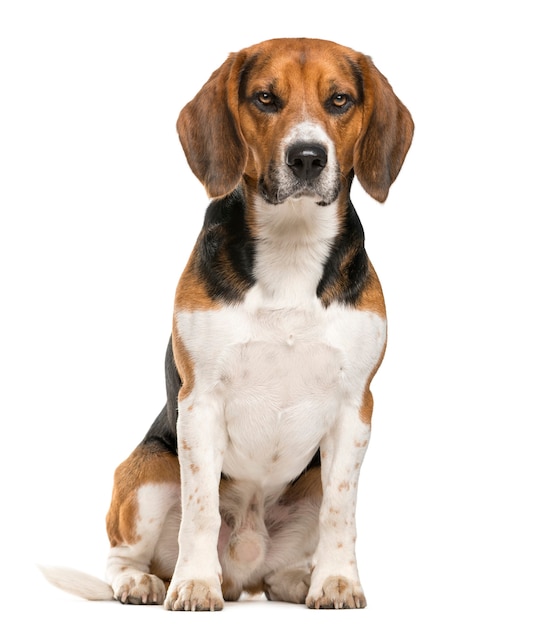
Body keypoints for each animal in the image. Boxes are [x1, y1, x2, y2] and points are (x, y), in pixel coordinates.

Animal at [41, 36, 414, 608]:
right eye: (265, 98)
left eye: (340, 100)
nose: (307, 157)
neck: (291, 245)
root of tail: (244, 573)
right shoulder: (200, 402)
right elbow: (200, 511)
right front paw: (194, 583)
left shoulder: (356, 408)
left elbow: (340, 512)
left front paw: (336, 581)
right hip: (150, 471)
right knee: (123, 553)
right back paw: (143, 582)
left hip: (303, 485)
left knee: (287, 558)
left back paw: (296, 579)